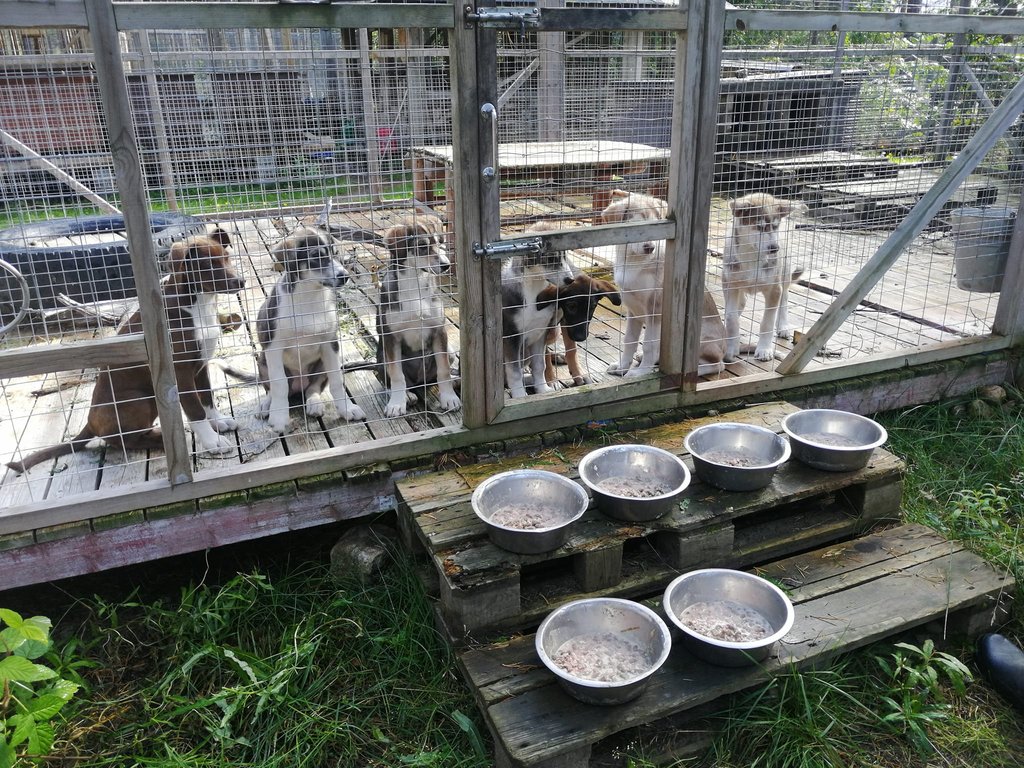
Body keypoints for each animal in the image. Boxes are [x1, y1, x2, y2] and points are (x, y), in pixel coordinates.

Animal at [7, 229, 244, 474]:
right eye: (207, 265)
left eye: (226, 257)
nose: (241, 282)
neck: (198, 305)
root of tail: (89, 423)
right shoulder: (181, 372)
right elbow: (195, 409)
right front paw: (212, 441)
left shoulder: (201, 365)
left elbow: (207, 398)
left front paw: (218, 421)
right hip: (141, 399)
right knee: (122, 441)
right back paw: (160, 438)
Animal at [245, 227, 367, 434]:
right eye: (316, 256)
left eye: (335, 253)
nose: (344, 276)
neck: (310, 296)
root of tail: (298, 386)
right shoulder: (273, 347)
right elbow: (279, 384)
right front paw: (279, 417)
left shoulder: (330, 344)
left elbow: (336, 381)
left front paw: (347, 408)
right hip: (262, 361)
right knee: (272, 389)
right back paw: (267, 405)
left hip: (322, 365)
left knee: (313, 388)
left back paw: (314, 403)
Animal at [377, 214, 461, 418]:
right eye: (422, 246)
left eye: (441, 242)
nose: (446, 265)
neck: (414, 284)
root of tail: (419, 382)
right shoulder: (391, 337)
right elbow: (397, 375)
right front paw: (396, 403)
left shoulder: (438, 331)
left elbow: (443, 371)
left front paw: (449, 398)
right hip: (382, 357)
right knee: (391, 381)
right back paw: (407, 395)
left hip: (450, 351)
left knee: (435, 376)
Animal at [500, 229, 575, 398]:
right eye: (550, 258)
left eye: (565, 256)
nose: (571, 280)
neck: (533, 288)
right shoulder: (511, 336)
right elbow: (514, 371)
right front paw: (520, 396)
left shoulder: (540, 333)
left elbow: (540, 365)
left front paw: (542, 389)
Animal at [722, 193, 805, 362]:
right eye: (759, 227)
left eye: (775, 227)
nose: (775, 248)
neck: (752, 257)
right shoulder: (730, 284)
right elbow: (731, 317)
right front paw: (732, 348)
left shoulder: (774, 289)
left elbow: (767, 322)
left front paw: (764, 350)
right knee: (741, 302)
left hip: (785, 273)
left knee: (785, 298)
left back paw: (783, 326)